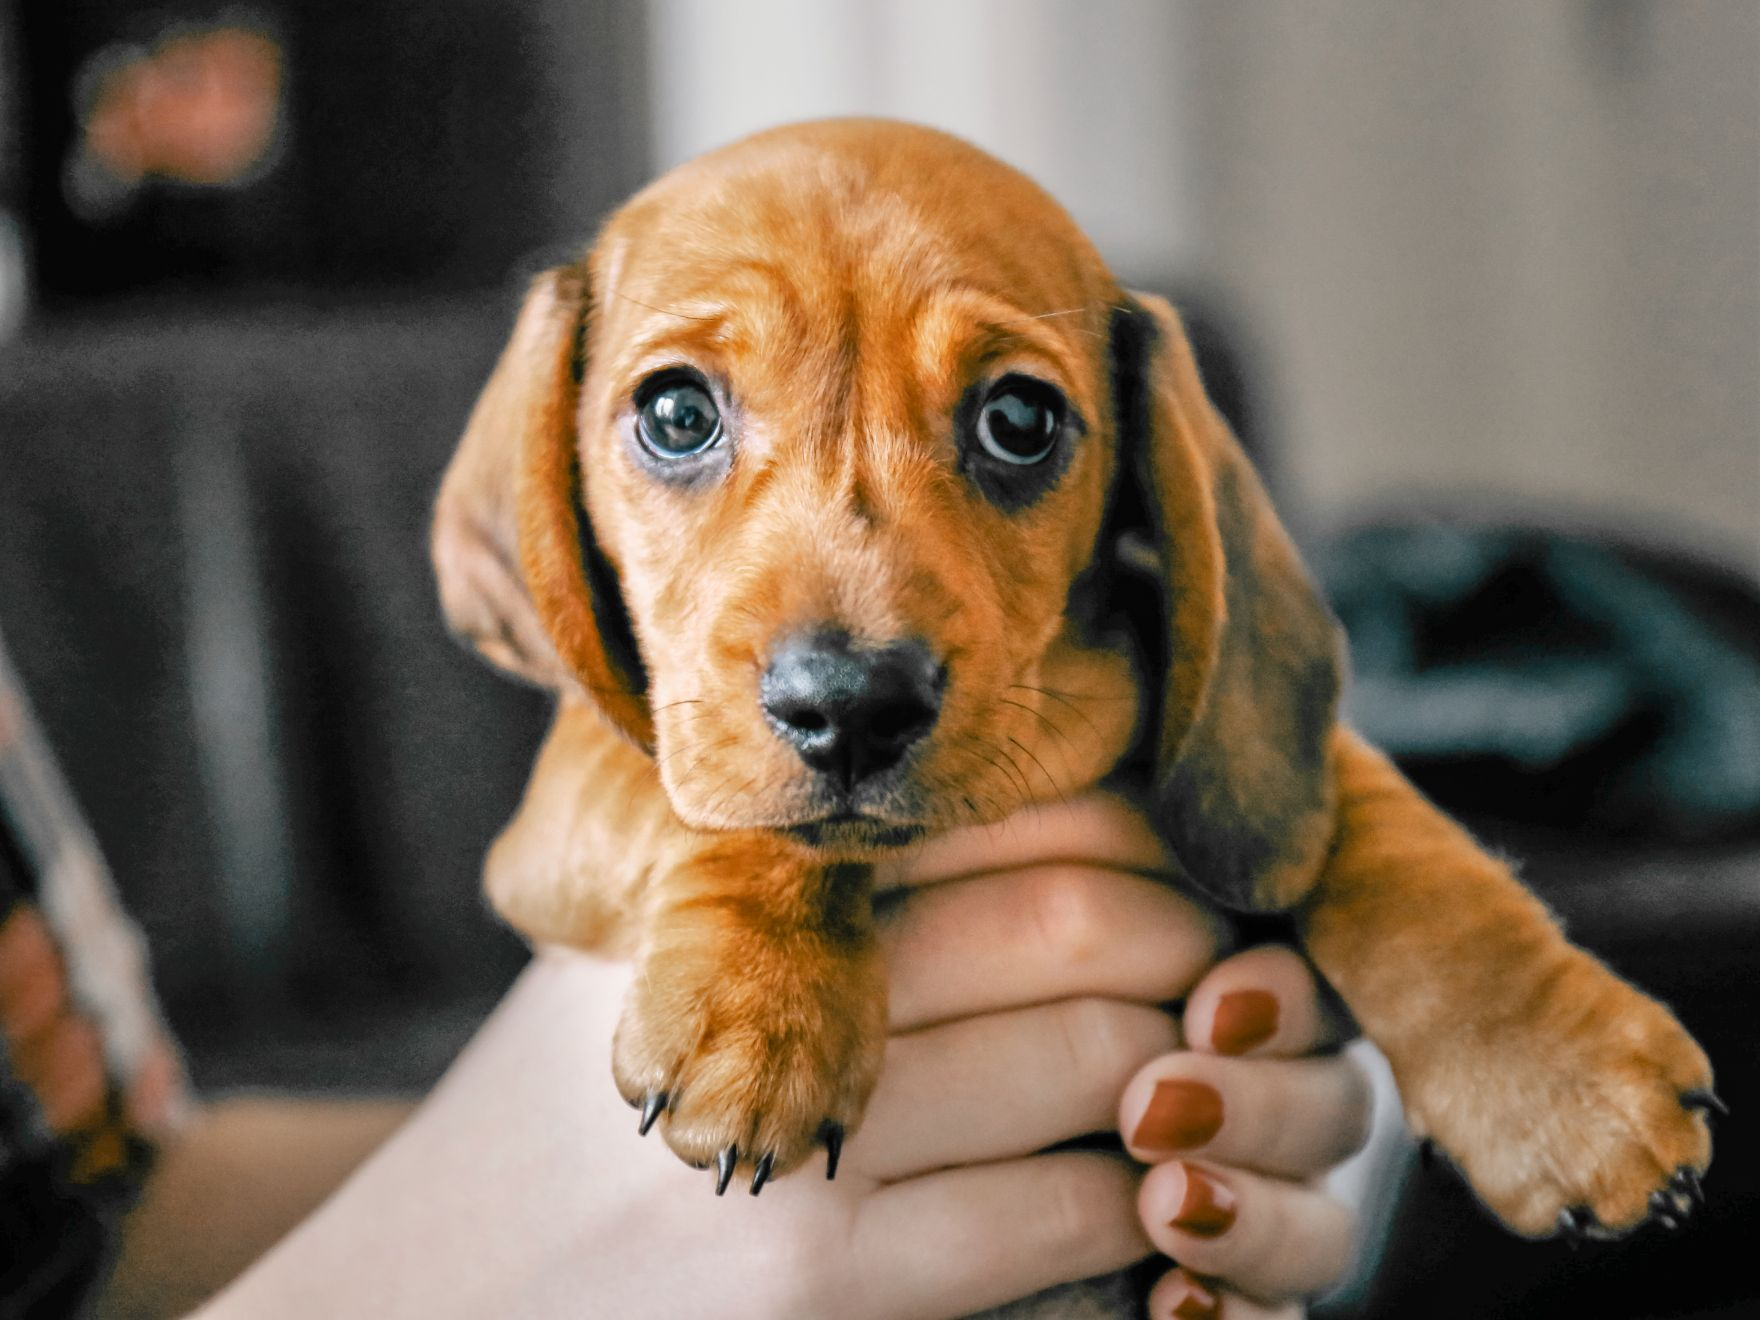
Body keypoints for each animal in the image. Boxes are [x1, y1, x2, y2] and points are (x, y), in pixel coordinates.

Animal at [432, 116, 1710, 1253]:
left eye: (1017, 420)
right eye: (676, 412)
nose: (850, 706)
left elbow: (1388, 840)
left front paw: (1556, 1082)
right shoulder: (562, 816)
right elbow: (711, 802)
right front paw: (762, 1007)